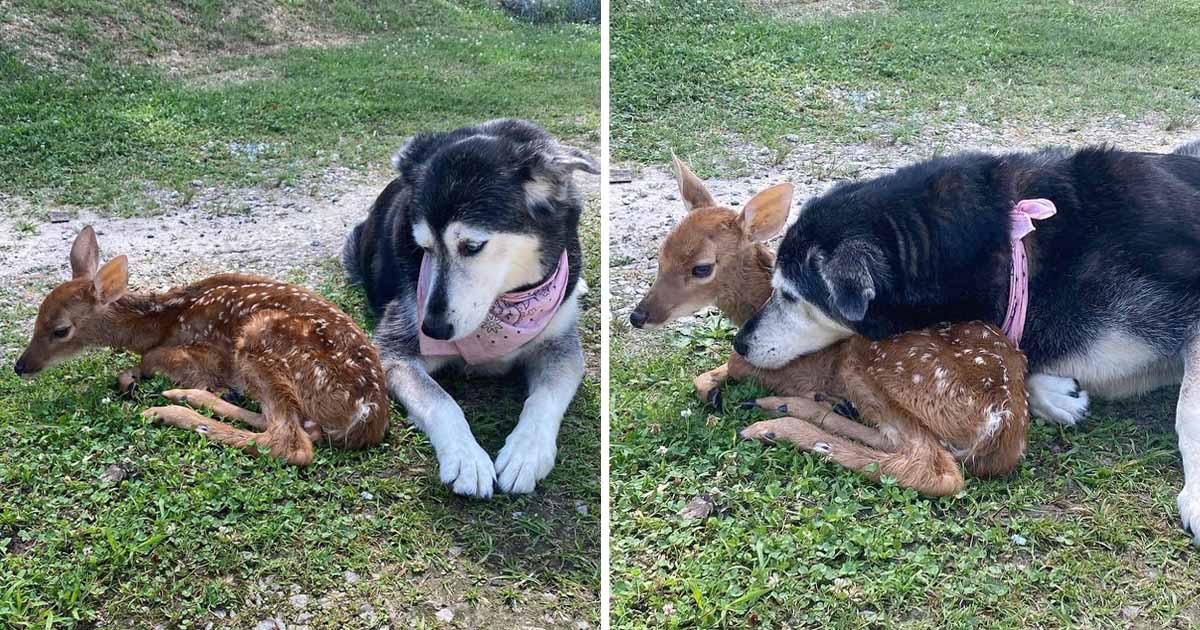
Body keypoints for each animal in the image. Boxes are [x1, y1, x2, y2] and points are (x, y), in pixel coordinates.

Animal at [13, 226, 389, 466]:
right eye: (37, 318)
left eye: (61, 330)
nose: (21, 366)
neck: (161, 322)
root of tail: (365, 419)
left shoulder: (204, 354)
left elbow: (152, 358)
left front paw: (137, 378)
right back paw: (188, 397)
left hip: (261, 339)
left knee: (290, 443)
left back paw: (168, 410)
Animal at [628, 157, 1029, 496]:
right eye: (661, 253)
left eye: (702, 268)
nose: (639, 315)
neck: (757, 306)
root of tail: (1003, 426)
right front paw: (714, 389)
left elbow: (733, 363)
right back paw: (793, 406)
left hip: (877, 364)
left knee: (932, 468)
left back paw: (774, 425)